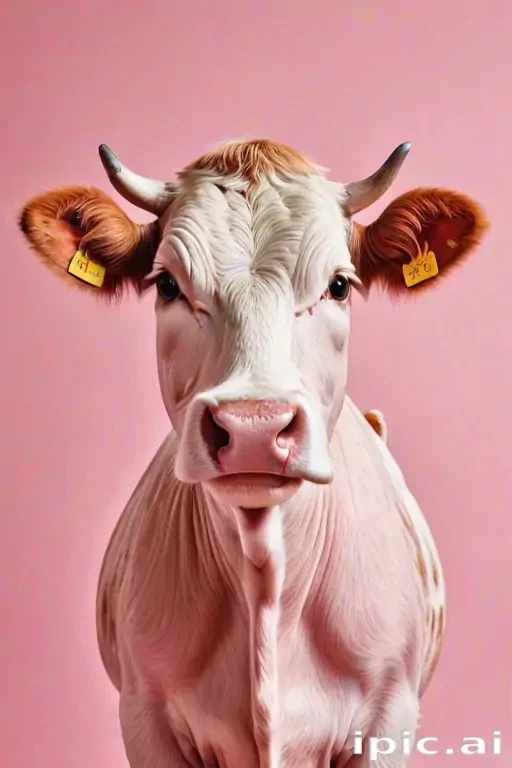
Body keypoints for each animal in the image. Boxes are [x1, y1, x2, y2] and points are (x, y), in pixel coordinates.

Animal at [18, 138, 489, 767]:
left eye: (339, 285)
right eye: (167, 285)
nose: (254, 427)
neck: (267, 585)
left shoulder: (391, 716)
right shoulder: (144, 716)